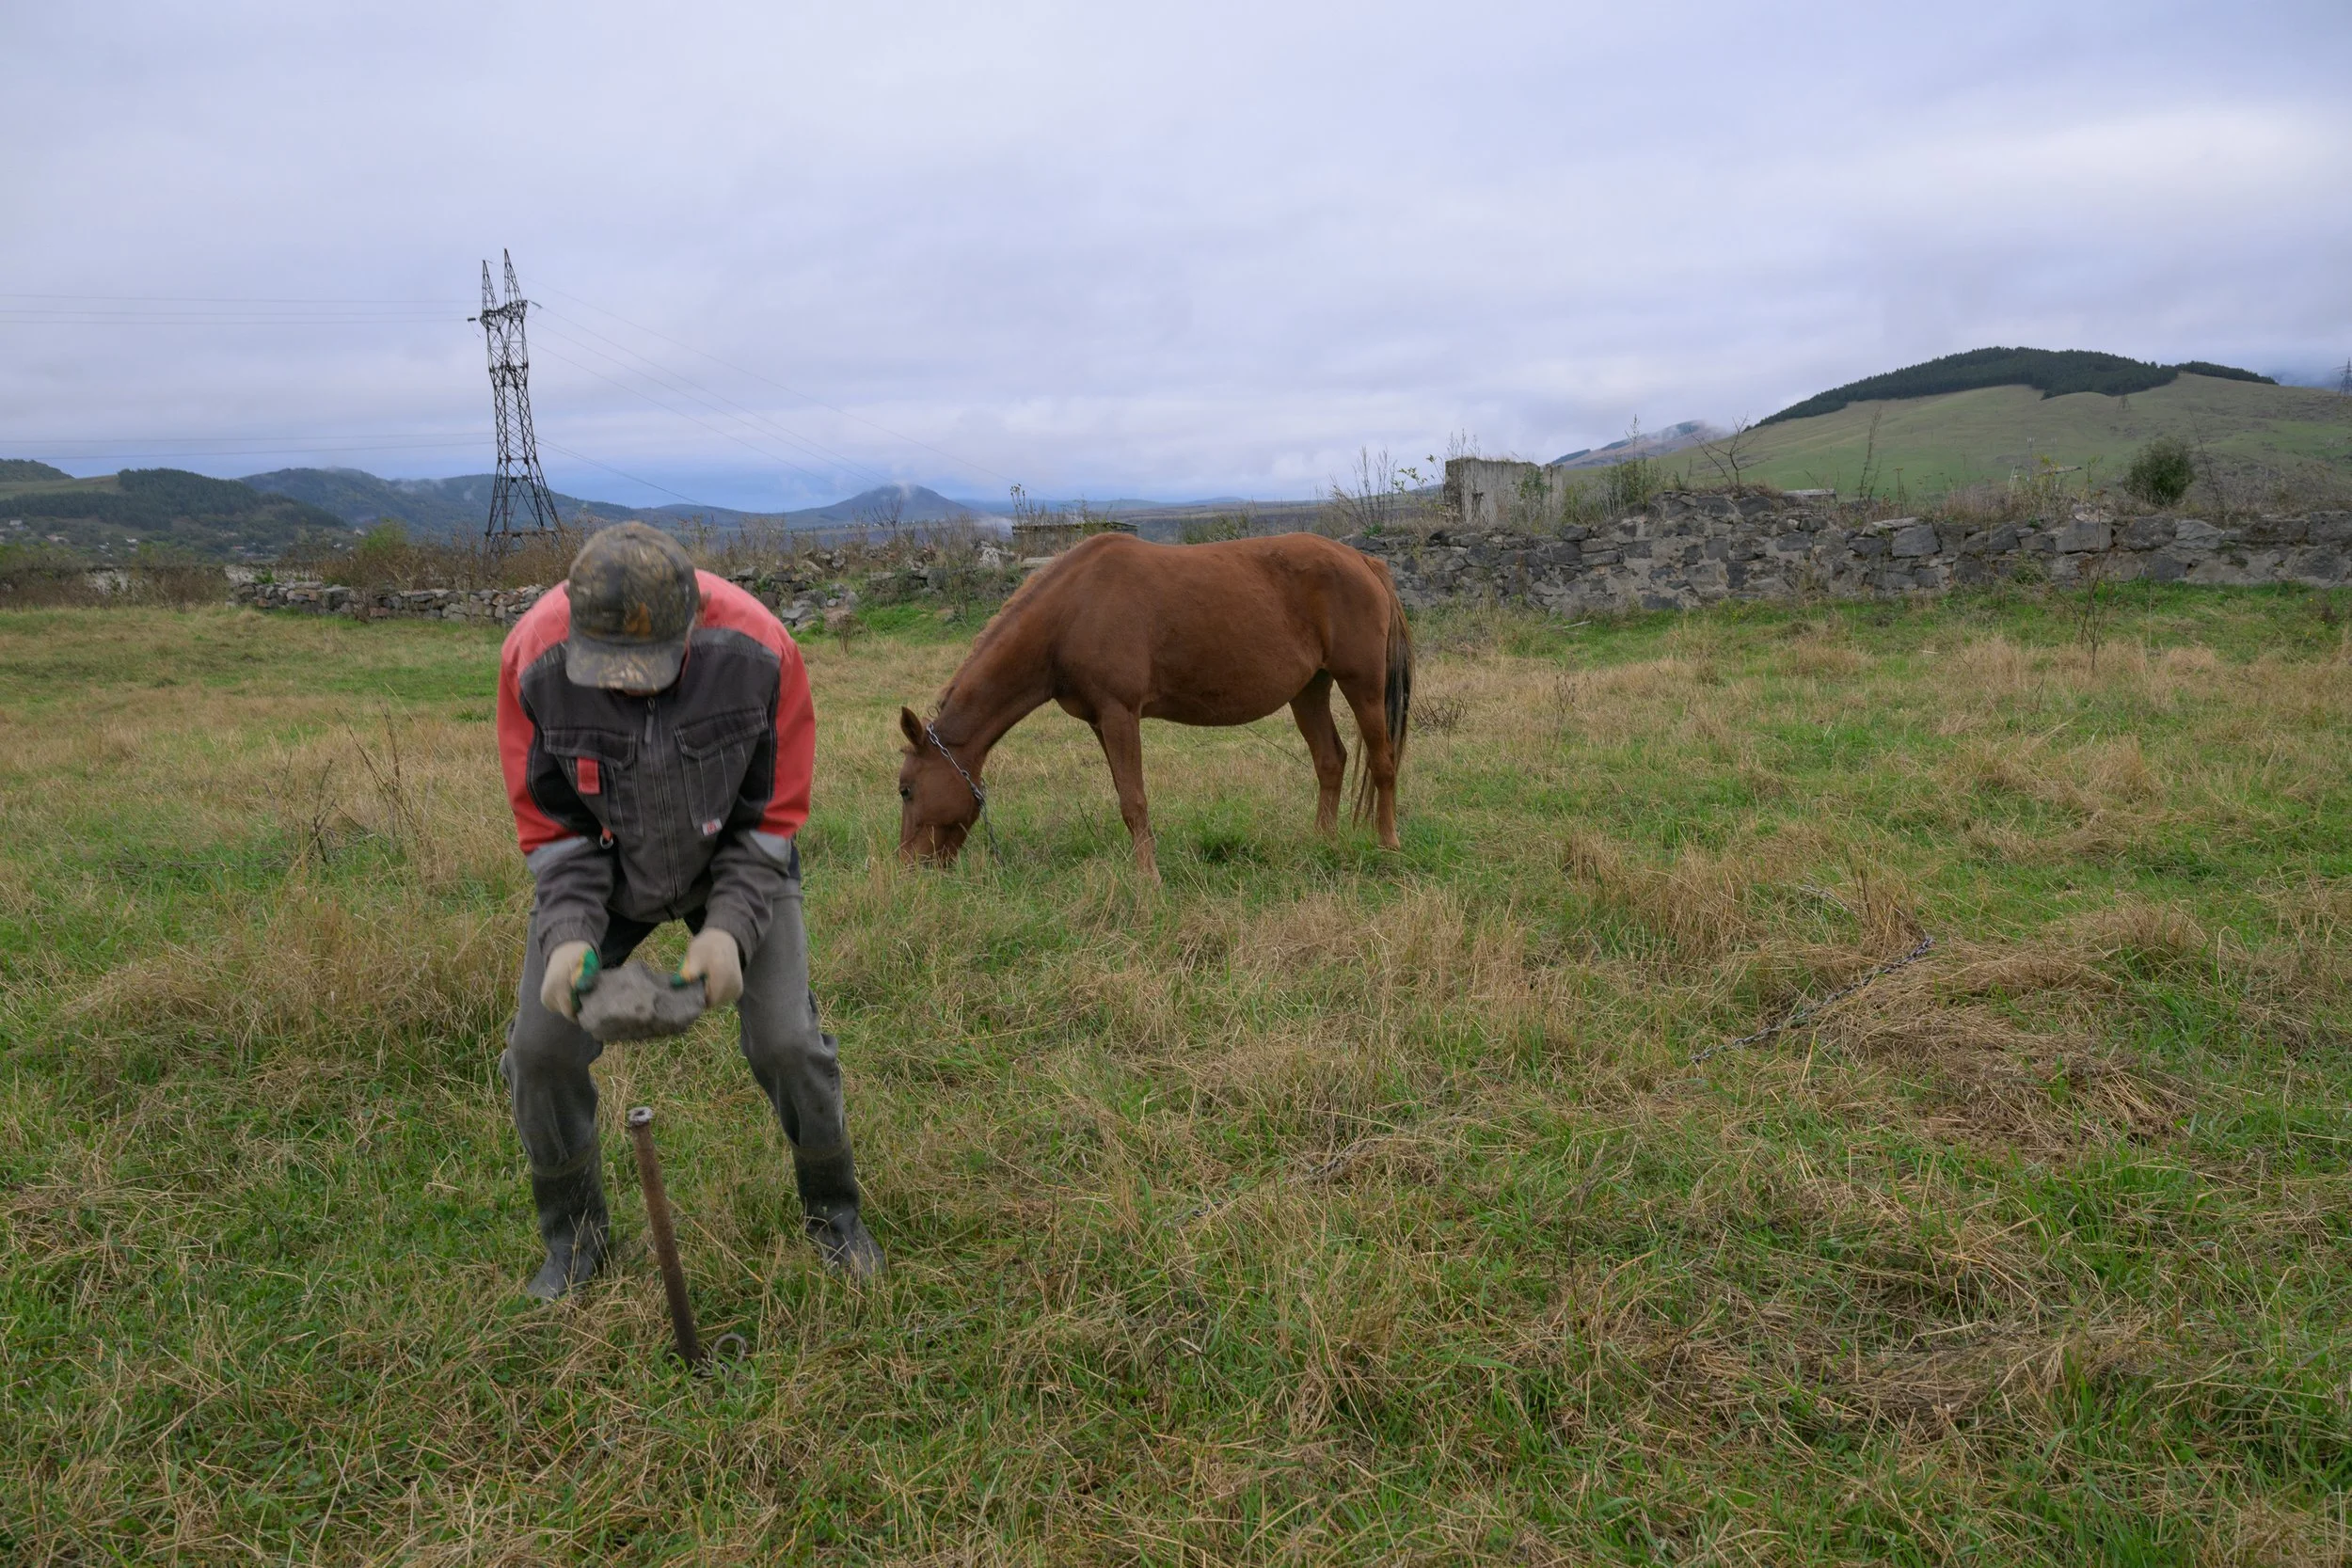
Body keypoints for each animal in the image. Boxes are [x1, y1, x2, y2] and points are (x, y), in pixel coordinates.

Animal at [895, 530, 1412, 879]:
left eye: (905, 790)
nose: (908, 867)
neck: (1072, 612)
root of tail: (1364, 561)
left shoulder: (1120, 712)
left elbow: (1134, 799)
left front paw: (1149, 880)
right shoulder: (1100, 721)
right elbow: (1126, 798)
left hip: (1362, 685)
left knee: (1383, 762)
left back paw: (1389, 845)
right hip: (1309, 689)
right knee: (1330, 760)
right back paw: (1321, 843)